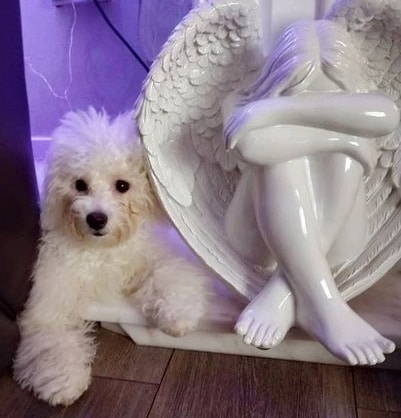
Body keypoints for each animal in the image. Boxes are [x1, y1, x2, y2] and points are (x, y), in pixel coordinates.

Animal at [12, 109, 212, 406]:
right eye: (80, 184)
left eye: (122, 185)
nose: (96, 219)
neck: (100, 251)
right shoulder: (50, 301)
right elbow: (52, 341)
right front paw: (64, 382)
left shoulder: (148, 257)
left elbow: (171, 275)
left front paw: (178, 317)